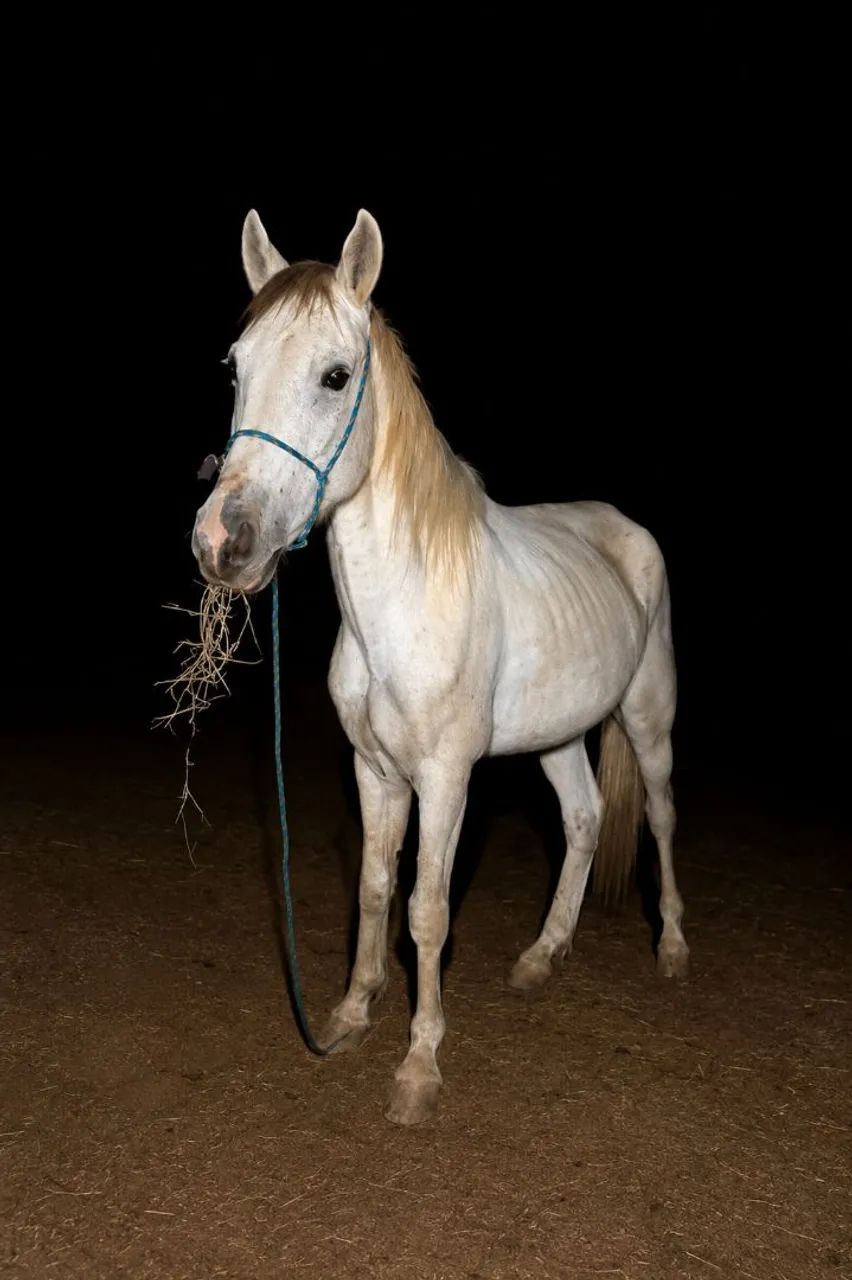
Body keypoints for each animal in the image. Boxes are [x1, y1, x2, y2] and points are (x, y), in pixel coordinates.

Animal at [192, 209, 689, 1126]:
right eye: (236, 367)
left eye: (335, 375)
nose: (221, 542)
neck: (400, 605)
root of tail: (622, 527)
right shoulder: (375, 771)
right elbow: (373, 889)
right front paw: (352, 1014)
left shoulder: (447, 779)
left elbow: (426, 909)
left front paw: (419, 1065)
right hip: (559, 736)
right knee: (584, 819)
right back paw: (542, 955)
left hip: (649, 719)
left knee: (663, 818)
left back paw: (671, 947)